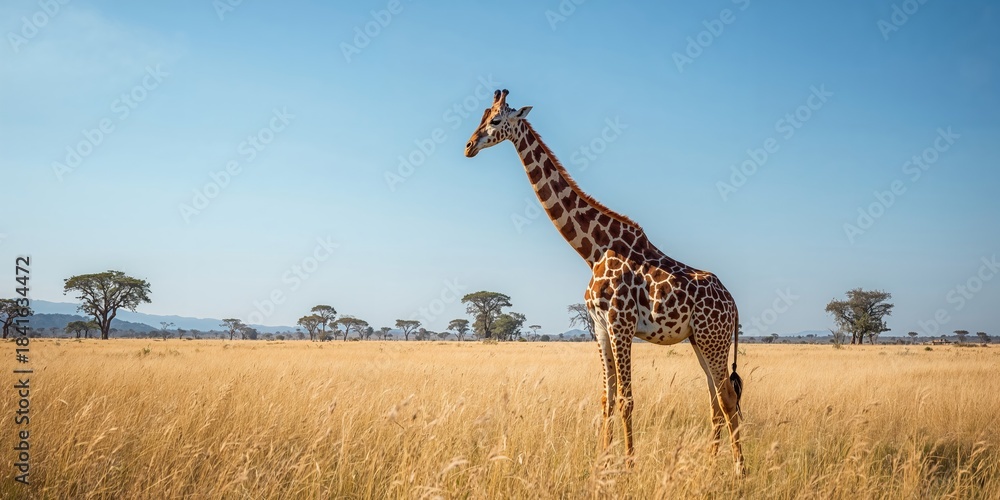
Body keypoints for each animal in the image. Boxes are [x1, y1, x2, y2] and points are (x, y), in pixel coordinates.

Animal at [464, 89, 745, 473]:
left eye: (495, 120)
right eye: (480, 115)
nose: (468, 146)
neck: (593, 249)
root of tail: (733, 303)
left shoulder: (620, 323)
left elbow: (626, 397)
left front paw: (627, 466)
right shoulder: (598, 326)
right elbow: (606, 397)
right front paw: (602, 461)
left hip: (713, 340)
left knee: (728, 398)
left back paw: (739, 471)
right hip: (700, 341)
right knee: (716, 398)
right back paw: (710, 464)